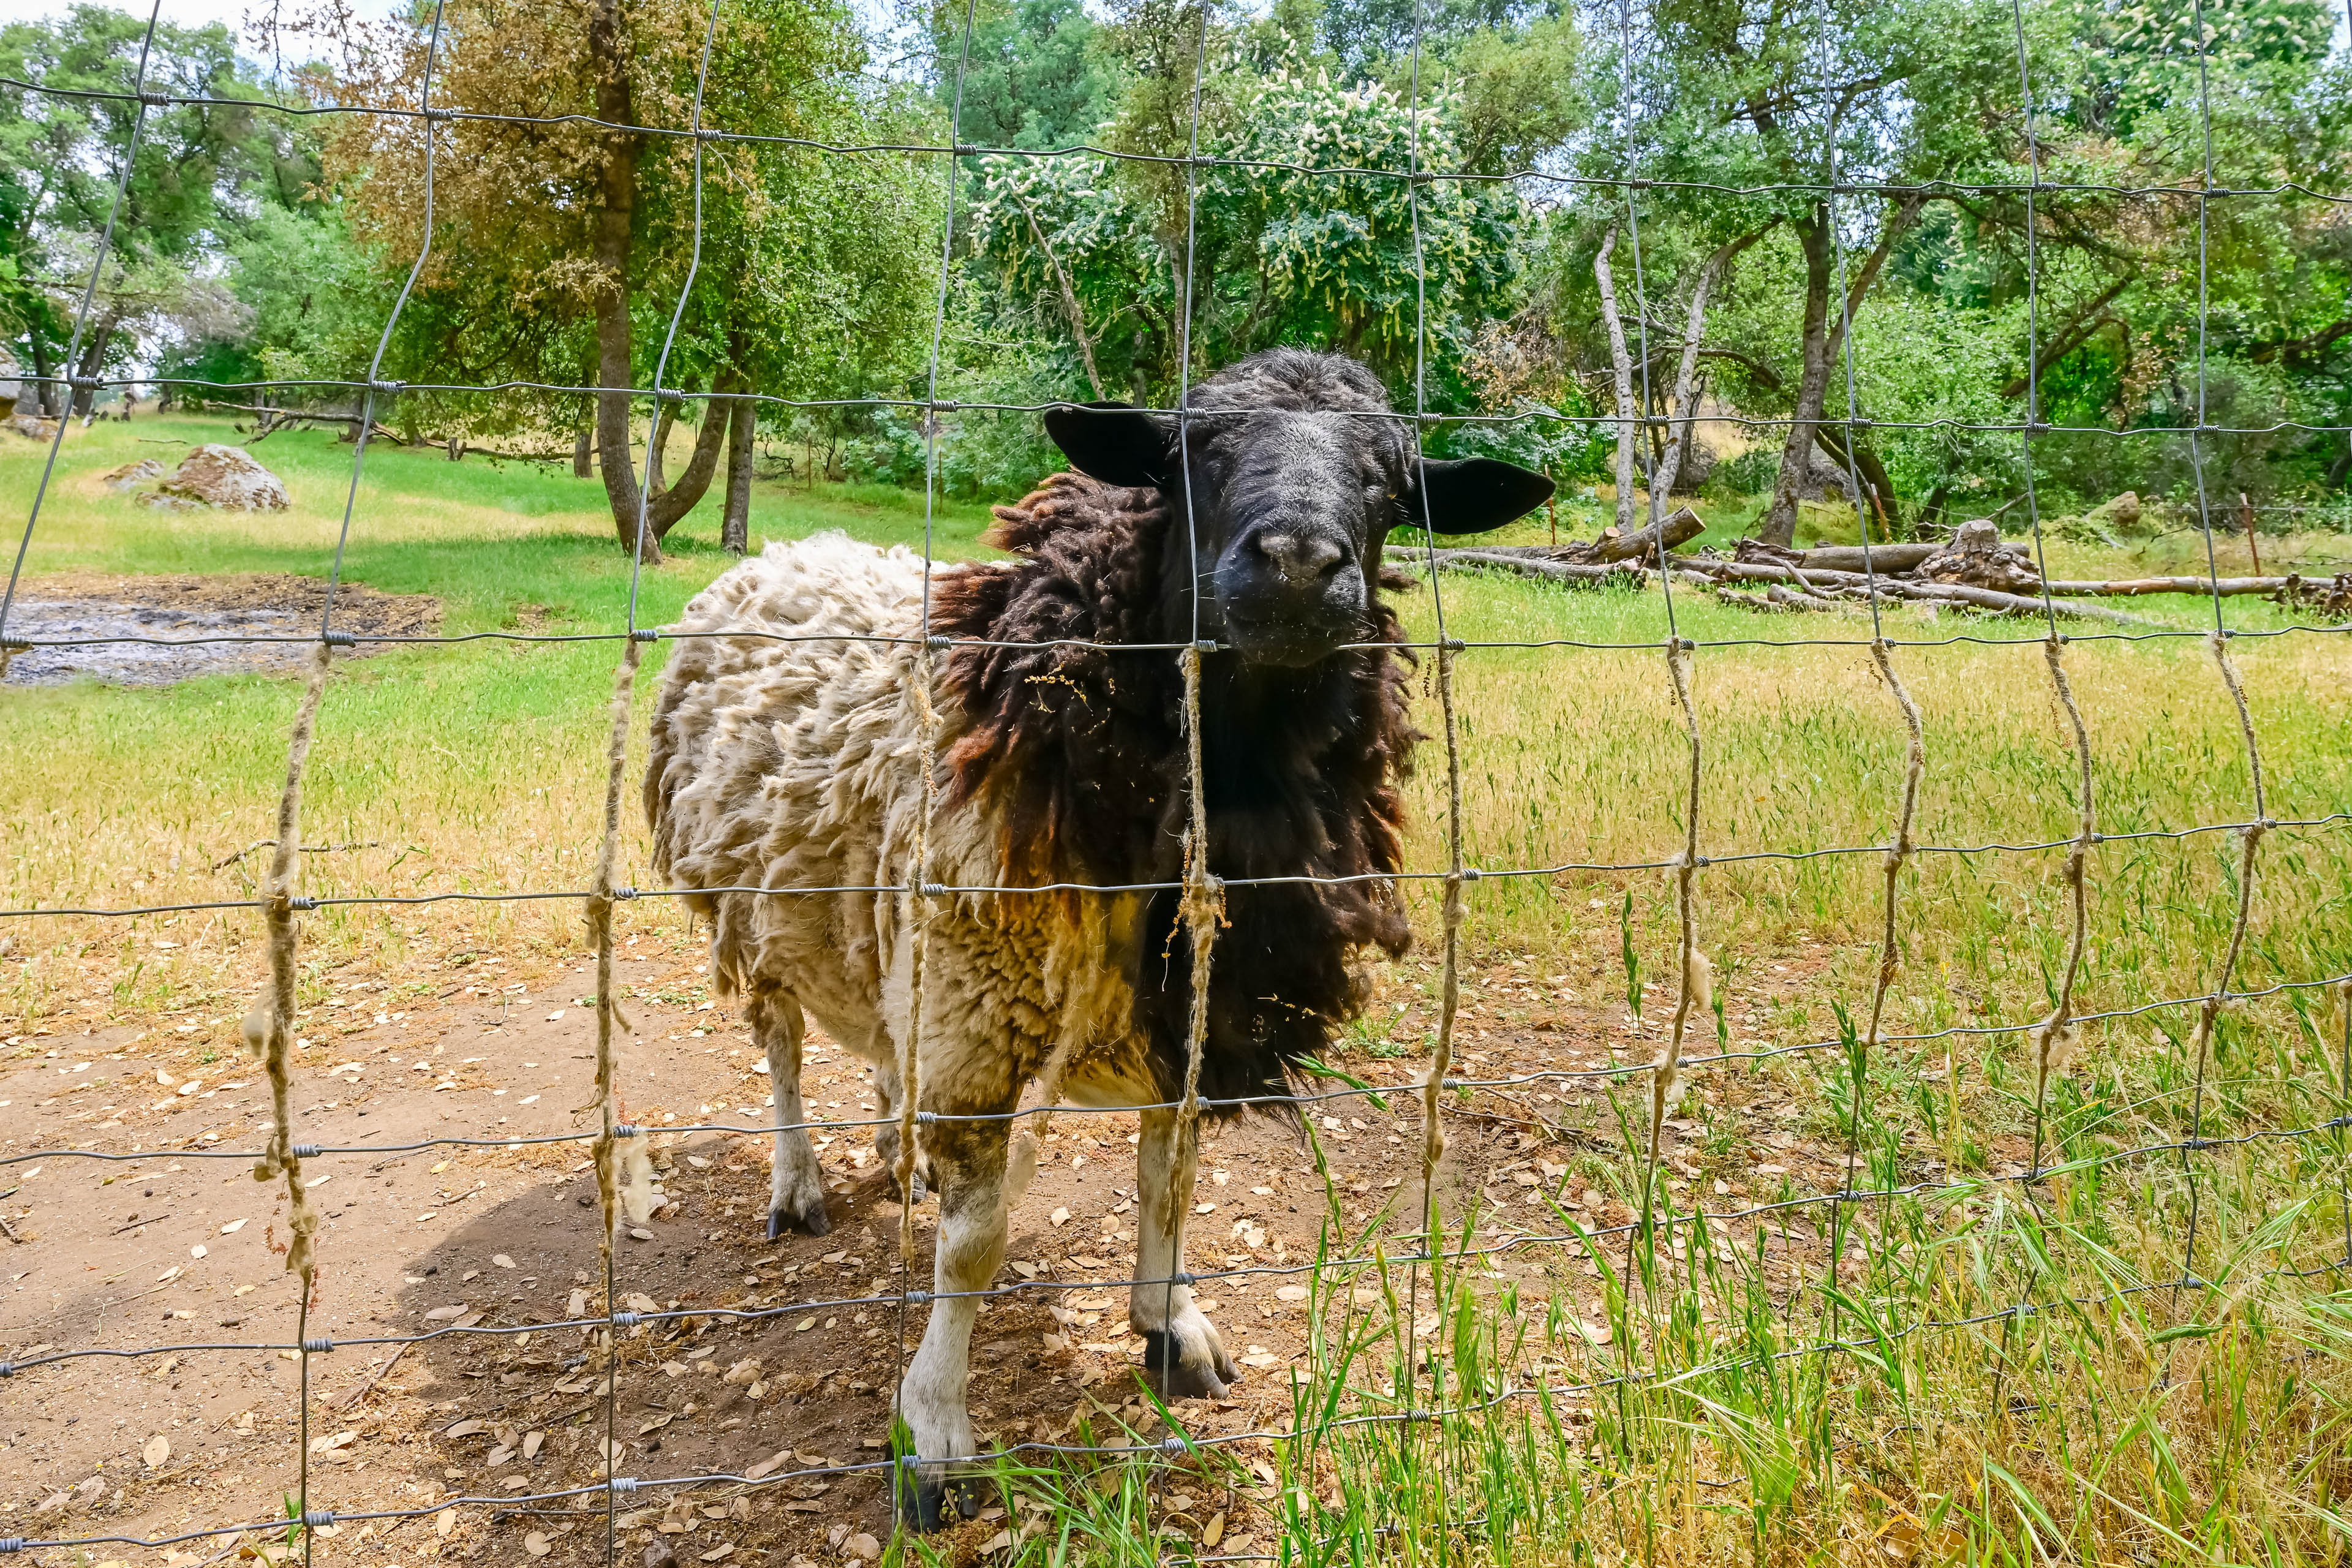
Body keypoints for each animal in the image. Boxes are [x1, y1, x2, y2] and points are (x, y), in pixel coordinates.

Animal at [654, 345, 1552, 1523]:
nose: (1299, 567)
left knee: (885, 1052)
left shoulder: (1192, 1000)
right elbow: (977, 1245)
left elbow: (1169, 1177)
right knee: (784, 1051)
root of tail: (796, 549)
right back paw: (797, 1184)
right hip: (753, 914)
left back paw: (897, 1156)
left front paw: (1170, 1326)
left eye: (1394, 487)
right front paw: (935, 1432)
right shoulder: (982, 1016)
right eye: (1191, 455)